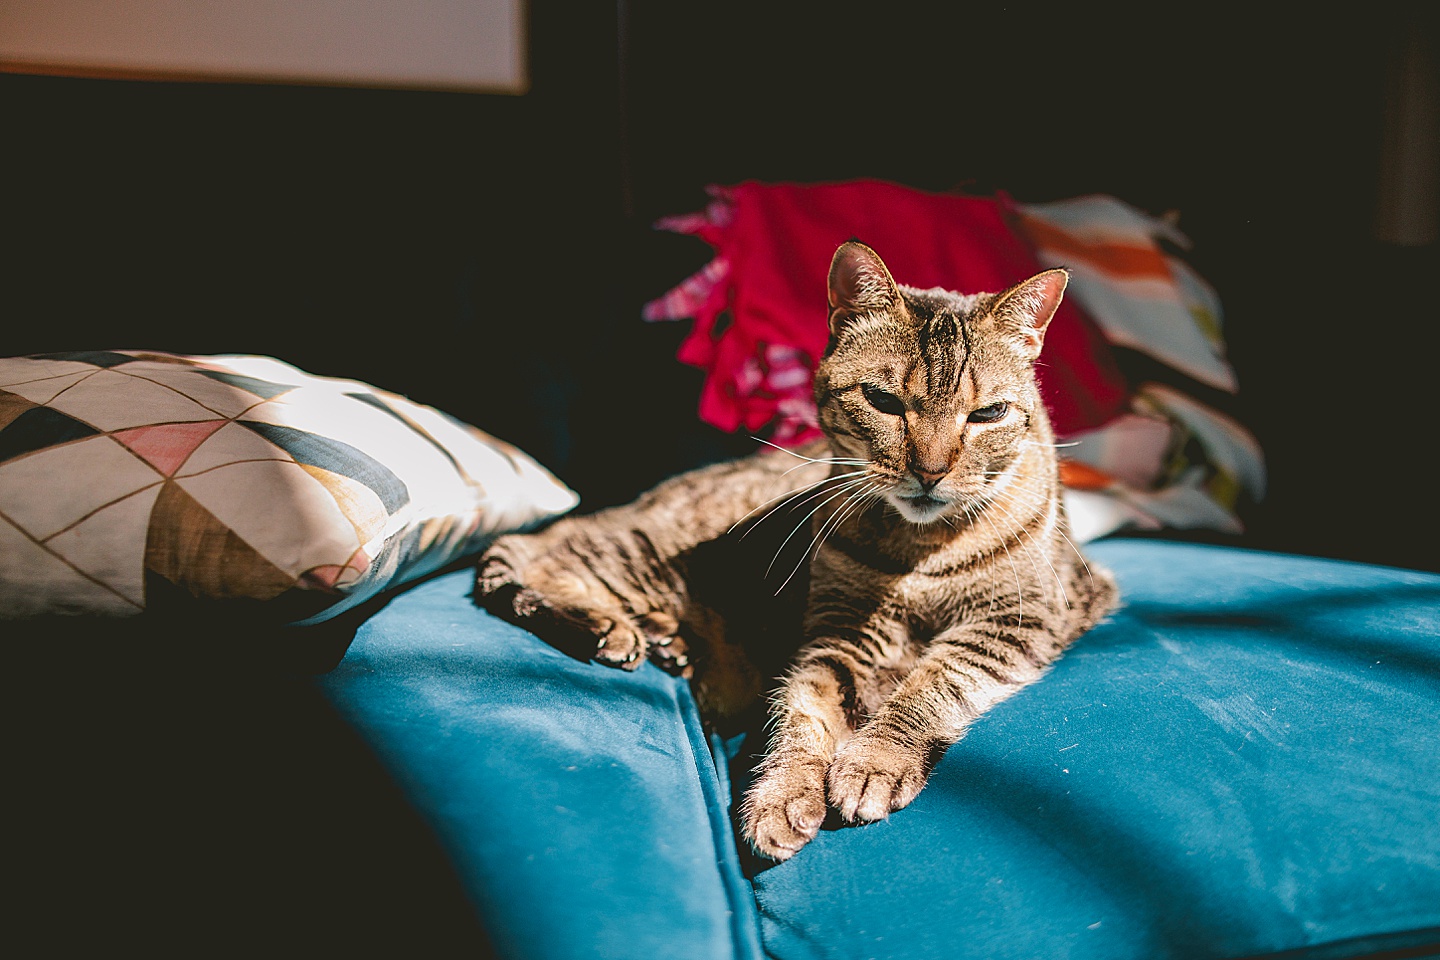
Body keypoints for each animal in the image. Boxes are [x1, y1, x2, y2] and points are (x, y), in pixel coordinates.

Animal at [478, 241, 1117, 863]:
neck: (919, 550)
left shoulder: (1014, 622)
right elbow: (804, 708)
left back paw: (665, 639)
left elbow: (932, 684)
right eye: (883, 401)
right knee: (538, 561)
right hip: (649, 555)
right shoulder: (838, 630)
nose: (931, 472)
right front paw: (782, 792)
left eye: (988, 414)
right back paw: (607, 626)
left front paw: (873, 759)